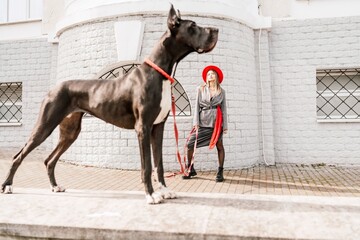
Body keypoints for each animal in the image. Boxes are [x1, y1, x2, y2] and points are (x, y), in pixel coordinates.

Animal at [1, 4, 218, 203]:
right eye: (193, 26)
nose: (216, 30)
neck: (160, 73)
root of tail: (53, 88)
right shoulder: (143, 127)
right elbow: (147, 165)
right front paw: (150, 194)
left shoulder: (158, 127)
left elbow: (159, 163)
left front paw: (164, 191)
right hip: (45, 125)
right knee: (19, 156)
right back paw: (8, 186)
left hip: (70, 131)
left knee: (49, 160)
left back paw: (55, 186)